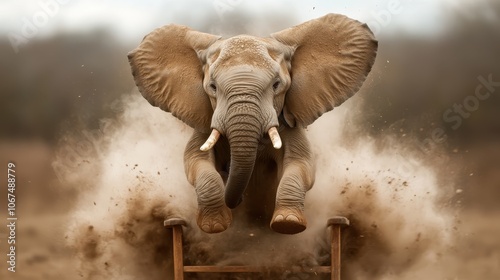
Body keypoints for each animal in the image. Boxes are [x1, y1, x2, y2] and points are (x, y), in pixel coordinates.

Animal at [127, 14, 376, 235]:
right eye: (212, 87)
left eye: (276, 85)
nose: (239, 201)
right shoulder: (205, 122)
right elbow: (195, 161)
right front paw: (214, 226)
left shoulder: (289, 122)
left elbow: (302, 165)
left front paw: (288, 223)